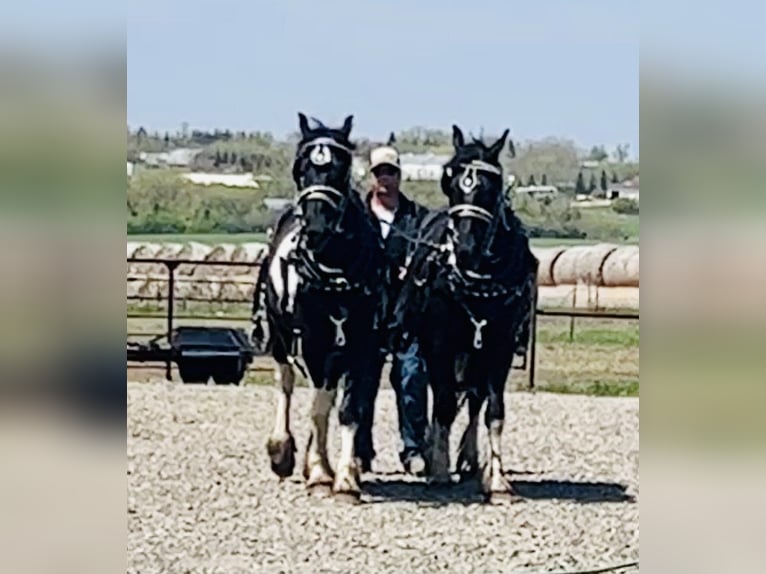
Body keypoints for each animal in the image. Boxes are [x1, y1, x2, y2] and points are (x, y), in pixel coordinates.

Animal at [252, 113, 384, 504]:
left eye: (341, 167)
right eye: (301, 168)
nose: (317, 225)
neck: (336, 270)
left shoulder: (362, 346)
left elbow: (349, 409)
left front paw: (346, 478)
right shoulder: (313, 343)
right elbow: (319, 407)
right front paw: (321, 472)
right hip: (283, 337)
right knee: (287, 383)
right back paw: (284, 451)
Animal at [392, 127, 536, 504]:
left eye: (491, 185)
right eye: (450, 181)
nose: (466, 247)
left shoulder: (499, 348)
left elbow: (493, 411)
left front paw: (497, 479)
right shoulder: (439, 345)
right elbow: (442, 404)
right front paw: (439, 468)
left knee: (473, 400)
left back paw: (470, 458)